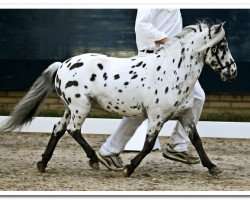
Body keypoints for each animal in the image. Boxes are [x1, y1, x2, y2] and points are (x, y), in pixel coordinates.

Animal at [0, 22, 237, 178]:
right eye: (222, 46)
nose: (232, 72)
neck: (173, 72)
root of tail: (62, 65)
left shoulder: (185, 114)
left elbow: (196, 139)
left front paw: (213, 167)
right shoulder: (156, 117)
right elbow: (148, 145)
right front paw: (128, 169)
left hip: (70, 108)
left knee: (58, 129)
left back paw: (43, 163)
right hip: (80, 106)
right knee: (73, 130)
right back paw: (94, 161)